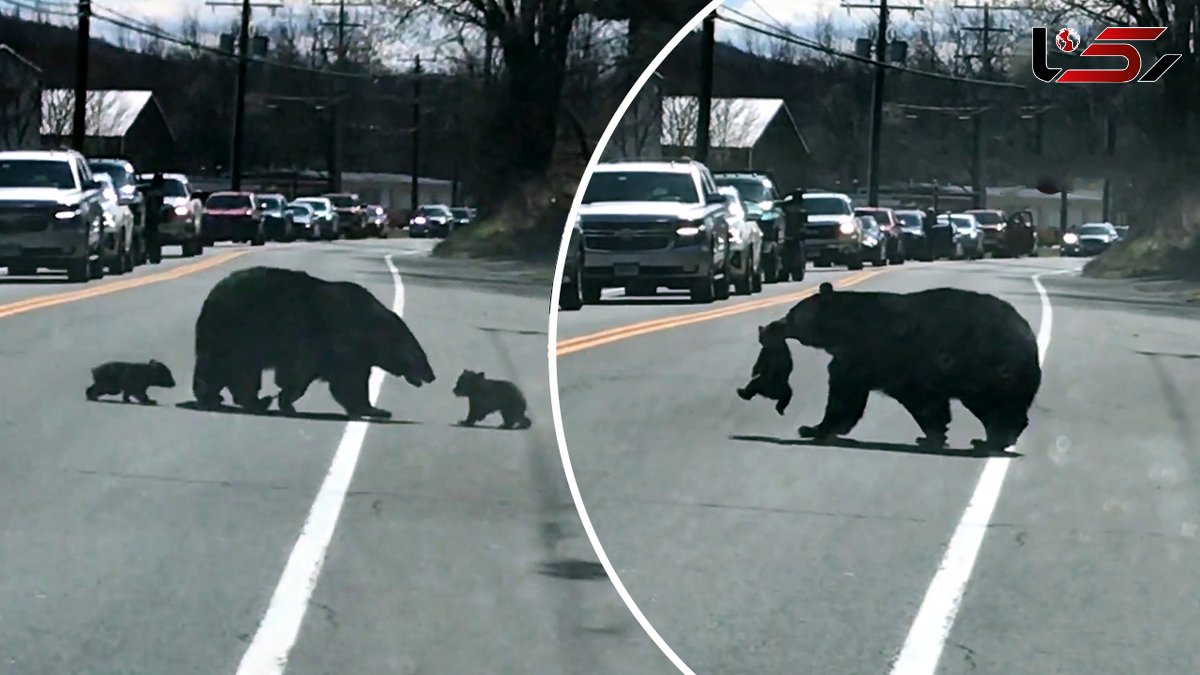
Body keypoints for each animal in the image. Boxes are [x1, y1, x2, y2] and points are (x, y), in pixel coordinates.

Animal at [184, 264, 434, 415]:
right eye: (418, 354)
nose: (432, 376)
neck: (367, 328)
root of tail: (212, 296)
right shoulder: (332, 342)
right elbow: (334, 379)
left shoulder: (350, 354)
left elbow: (350, 380)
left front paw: (373, 409)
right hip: (238, 331)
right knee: (234, 369)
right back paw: (248, 401)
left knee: (224, 369)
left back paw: (220, 398)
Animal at [768, 281, 1041, 449]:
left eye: (792, 313)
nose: (774, 325)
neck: (847, 328)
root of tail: (1029, 337)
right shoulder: (856, 359)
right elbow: (849, 394)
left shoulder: (878, 356)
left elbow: (849, 397)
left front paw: (812, 428)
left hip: (986, 368)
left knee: (994, 405)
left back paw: (994, 438)